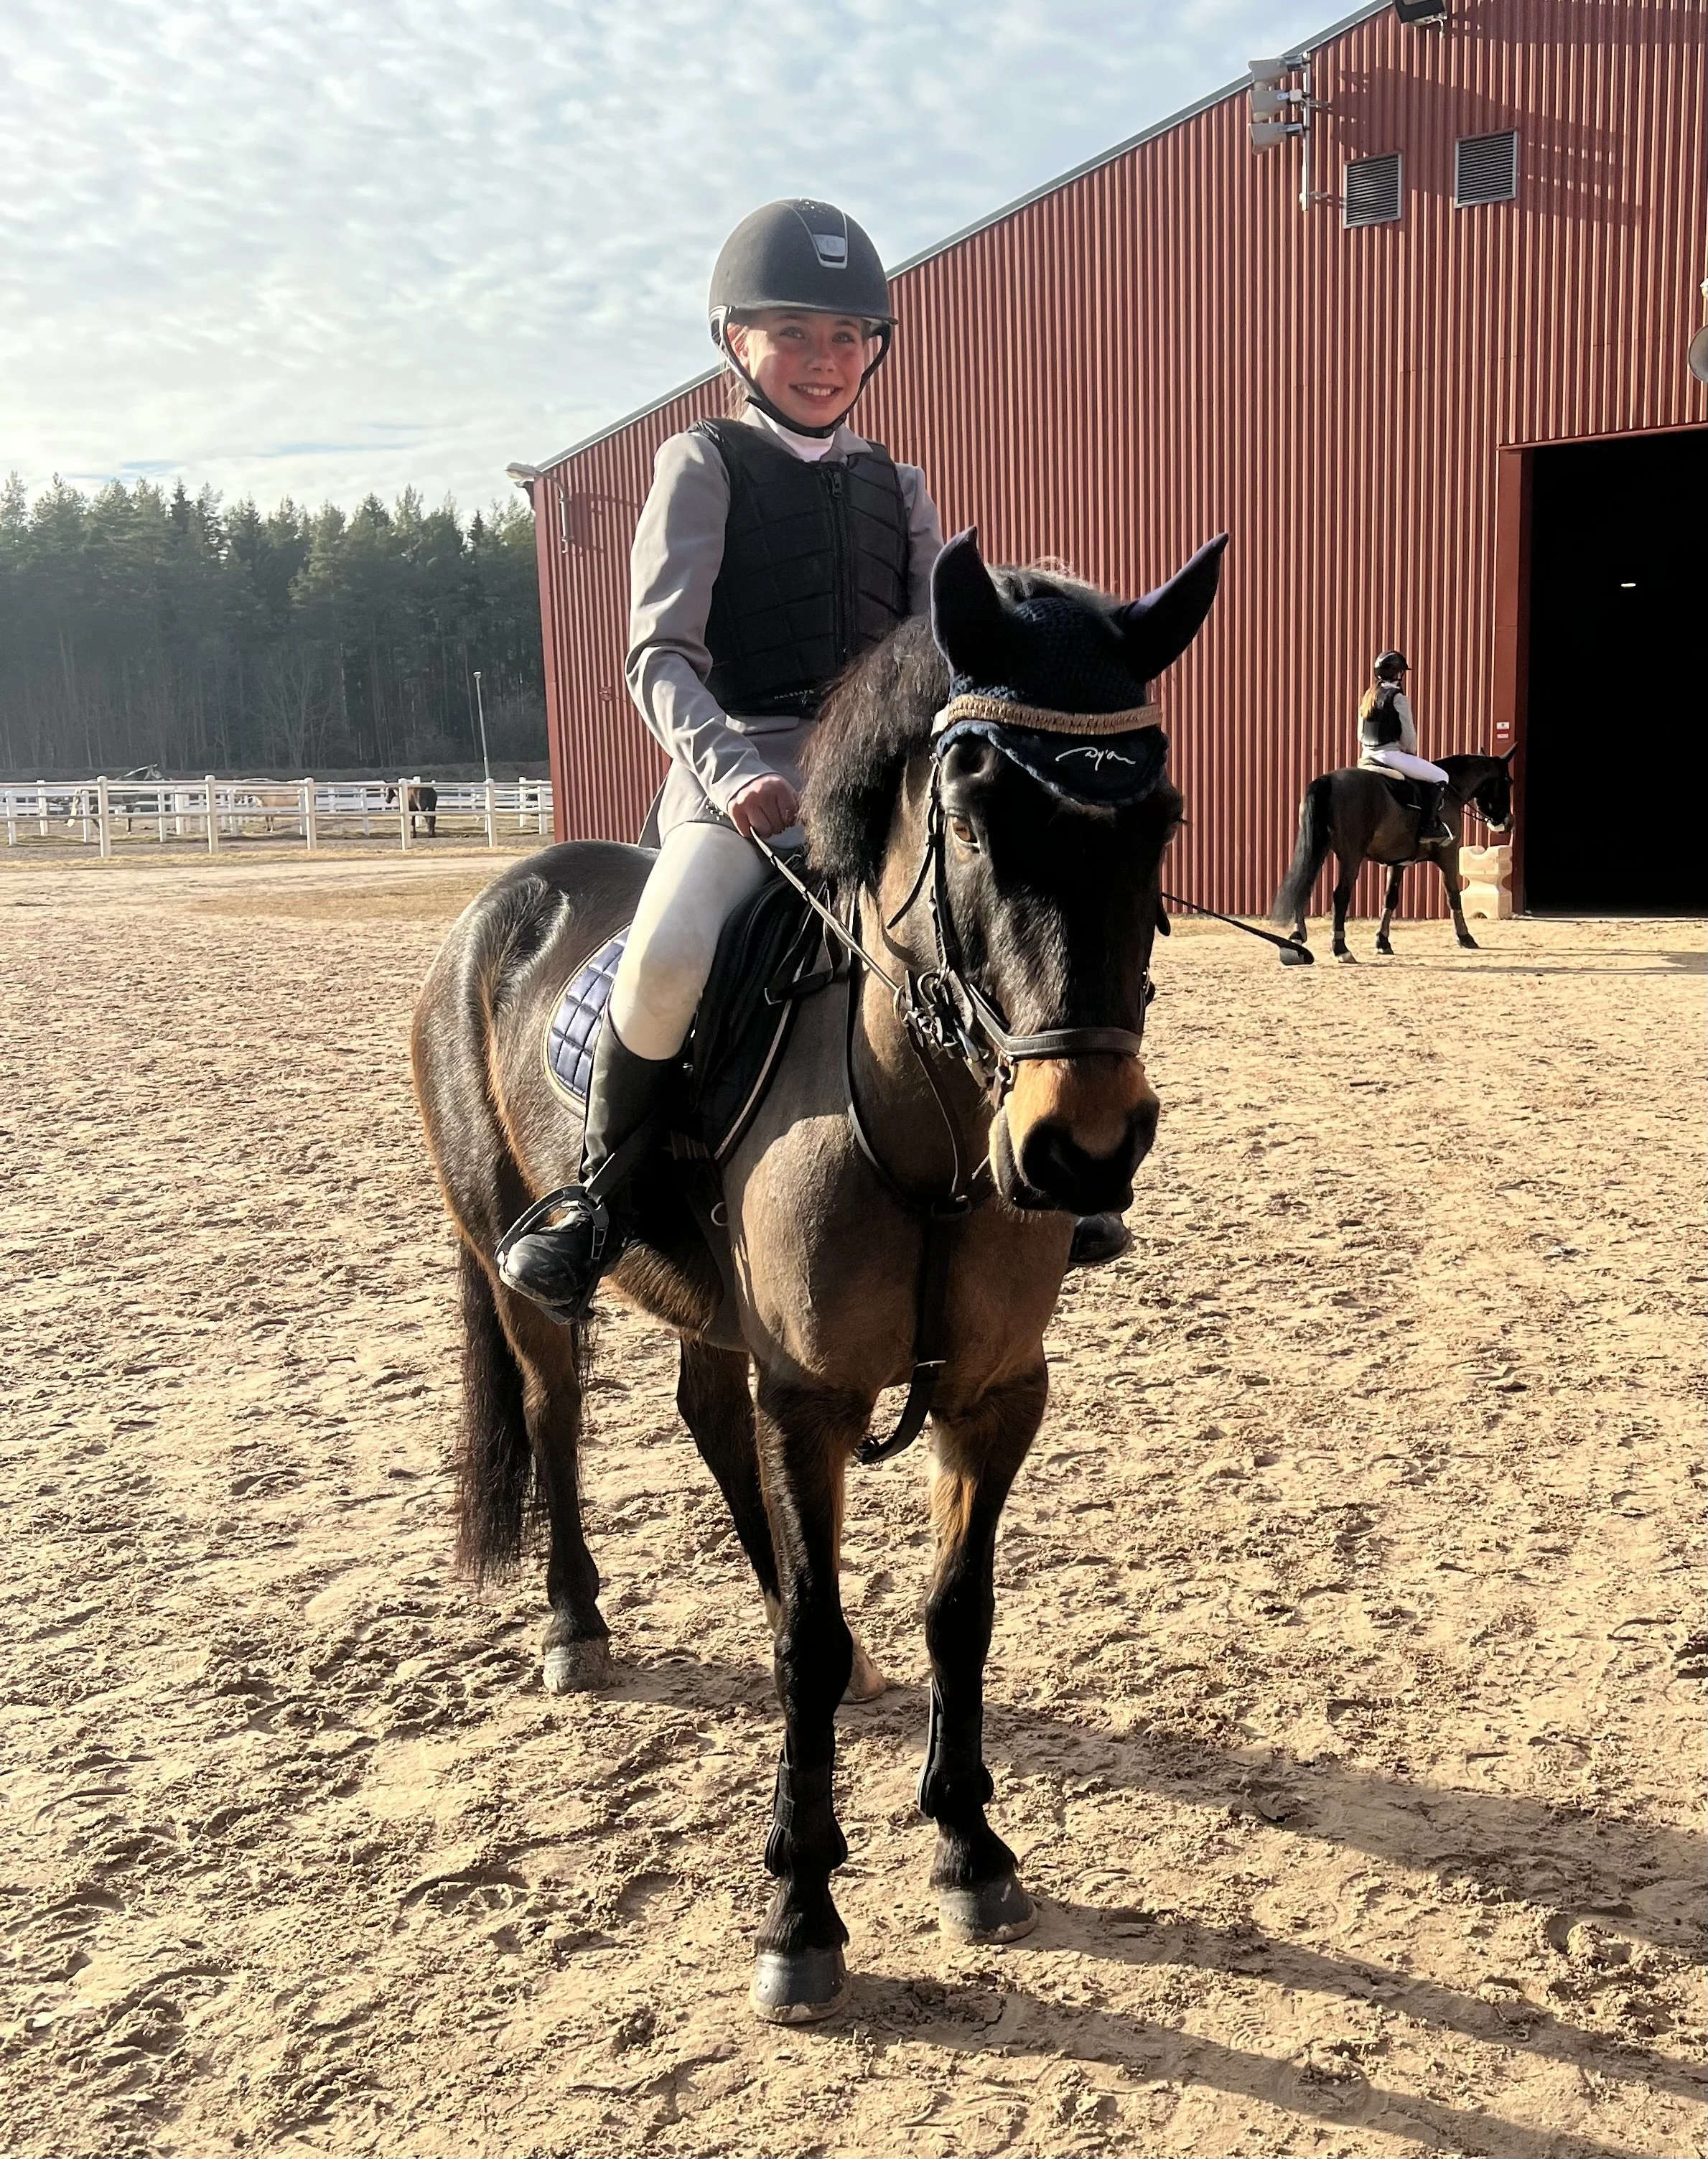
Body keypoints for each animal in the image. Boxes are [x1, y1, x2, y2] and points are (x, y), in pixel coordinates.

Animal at [410, 528, 1225, 2022]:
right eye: (972, 818)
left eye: (1158, 822)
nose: (1079, 1149)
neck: (928, 1128)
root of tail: (505, 898)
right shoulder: (813, 1397)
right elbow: (813, 1643)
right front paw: (799, 1907)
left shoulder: (994, 1395)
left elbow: (955, 1611)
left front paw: (968, 1843)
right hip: (521, 1272)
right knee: (557, 1421)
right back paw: (573, 1621)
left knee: (706, 1423)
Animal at [1270, 750, 1516, 961]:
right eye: (1508, 782)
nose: (1508, 823)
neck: (1451, 790)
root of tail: (1328, 780)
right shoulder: (1448, 854)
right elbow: (1453, 895)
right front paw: (1465, 937)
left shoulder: (1399, 862)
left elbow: (1390, 898)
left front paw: (1382, 941)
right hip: (1351, 856)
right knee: (1340, 895)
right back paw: (1341, 949)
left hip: (1318, 847)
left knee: (1303, 883)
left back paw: (1297, 936)